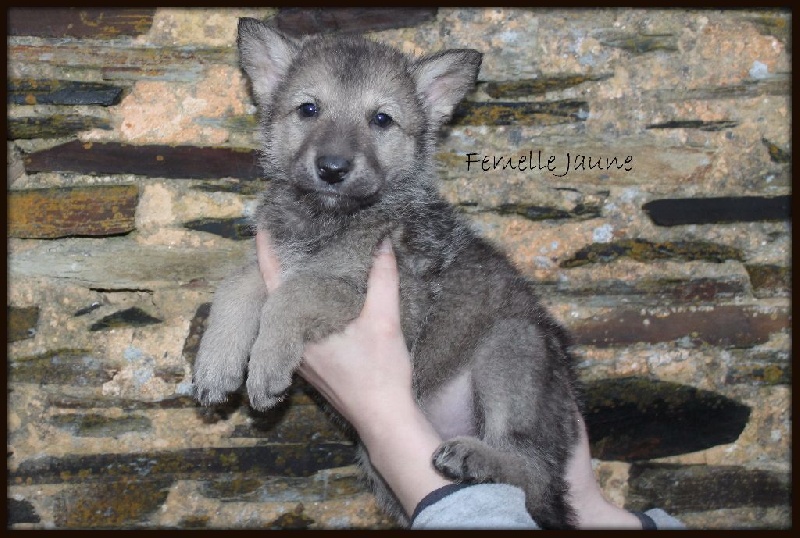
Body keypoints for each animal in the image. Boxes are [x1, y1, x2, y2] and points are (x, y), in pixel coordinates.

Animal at [192, 17, 583, 528]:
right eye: (308, 109)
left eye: (381, 119)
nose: (332, 168)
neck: (327, 219)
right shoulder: (274, 261)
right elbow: (238, 286)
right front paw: (215, 363)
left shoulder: (378, 295)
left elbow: (292, 295)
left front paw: (266, 365)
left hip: (514, 344)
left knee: (532, 469)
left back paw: (478, 457)